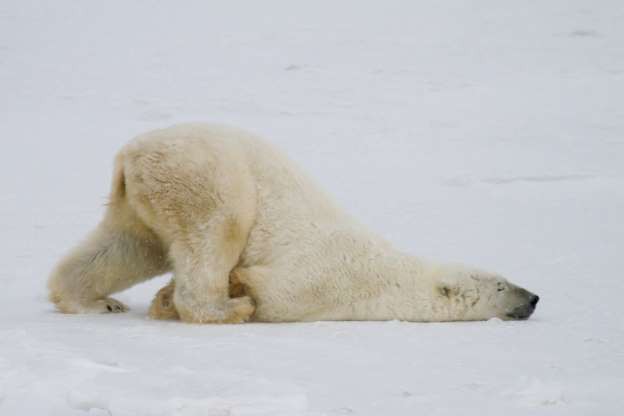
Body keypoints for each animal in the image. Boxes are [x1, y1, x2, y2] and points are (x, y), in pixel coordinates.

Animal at [48, 123, 540, 324]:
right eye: (501, 284)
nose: (534, 297)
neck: (387, 277)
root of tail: (130, 154)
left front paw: (161, 300)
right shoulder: (323, 281)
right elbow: (270, 293)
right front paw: (233, 291)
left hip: (144, 200)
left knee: (127, 246)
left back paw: (95, 301)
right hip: (201, 175)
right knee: (216, 229)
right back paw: (226, 308)